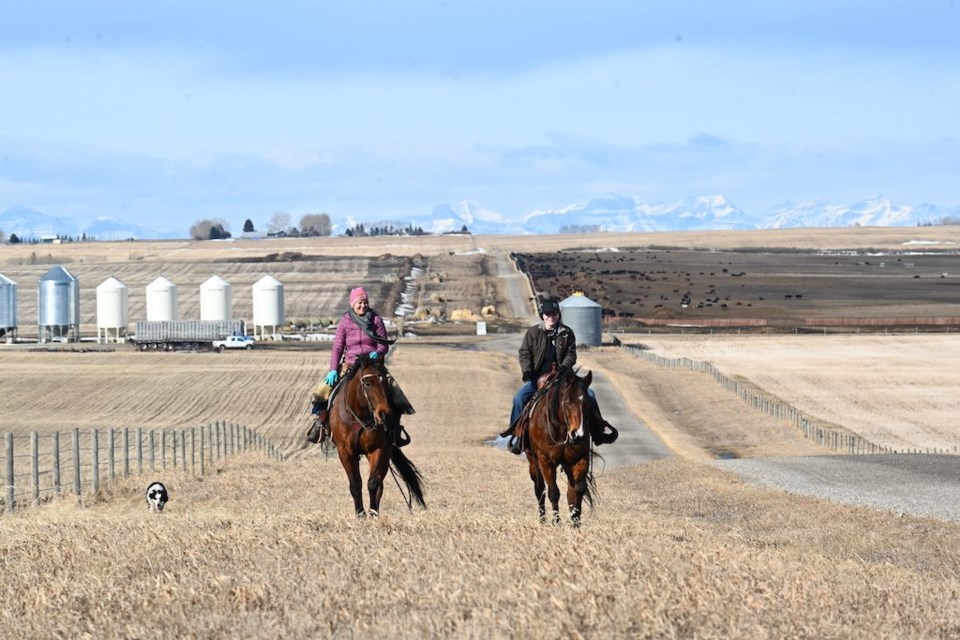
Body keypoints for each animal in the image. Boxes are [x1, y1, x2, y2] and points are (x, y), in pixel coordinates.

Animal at [328, 352, 426, 516]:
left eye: (386, 382)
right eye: (367, 383)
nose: (385, 414)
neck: (359, 417)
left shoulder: (378, 449)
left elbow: (373, 483)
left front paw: (373, 513)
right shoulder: (345, 452)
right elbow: (355, 484)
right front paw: (360, 514)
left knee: (379, 484)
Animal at [524, 368, 592, 528]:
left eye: (587, 402)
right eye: (567, 402)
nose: (578, 435)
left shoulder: (580, 459)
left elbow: (578, 489)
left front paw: (576, 521)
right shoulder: (545, 460)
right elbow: (553, 491)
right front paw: (556, 522)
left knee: (570, 490)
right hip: (533, 461)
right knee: (539, 489)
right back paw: (542, 519)